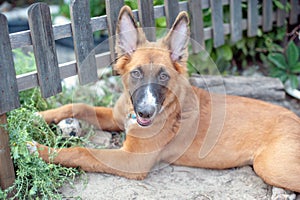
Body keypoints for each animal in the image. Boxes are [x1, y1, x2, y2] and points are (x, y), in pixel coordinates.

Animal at [32, 6, 298, 192]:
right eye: (136, 73)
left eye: (164, 76)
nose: (146, 112)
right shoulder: (116, 117)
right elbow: (78, 104)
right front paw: (37, 116)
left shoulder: (132, 160)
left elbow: (81, 152)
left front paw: (37, 149)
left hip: (270, 166)